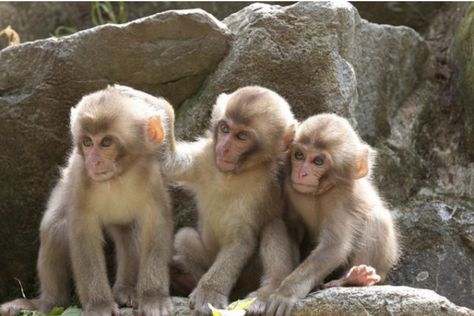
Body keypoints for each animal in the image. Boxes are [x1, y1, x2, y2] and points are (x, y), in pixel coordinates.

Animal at [0, 84, 176, 316]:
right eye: (87, 142)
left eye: (106, 142)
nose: (93, 161)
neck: (118, 177)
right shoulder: (80, 181)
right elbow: (83, 236)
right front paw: (99, 305)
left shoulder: (153, 178)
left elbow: (156, 227)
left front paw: (154, 297)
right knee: (55, 228)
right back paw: (47, 302)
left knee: (129, 233)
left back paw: (127, 290)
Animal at [164, 86, 296, 316]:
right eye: (225, 128)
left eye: (242, 136)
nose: (224, 148)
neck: (232, 175)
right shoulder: (206, 157)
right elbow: (170, 163)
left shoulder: (260, 189)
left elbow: (240, 241)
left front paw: (210, 292)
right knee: (185, 237)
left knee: (273, 225)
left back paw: (268, 290)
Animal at [266, 113, 400, 316]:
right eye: (299, 155)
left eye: (318, 161)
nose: (301, 173)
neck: (318, 193)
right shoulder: (290, 189)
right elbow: (290, 227)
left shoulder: (340, 198)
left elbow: (334, 246)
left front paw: (285, 293)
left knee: (377, 219)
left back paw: (354, 279)